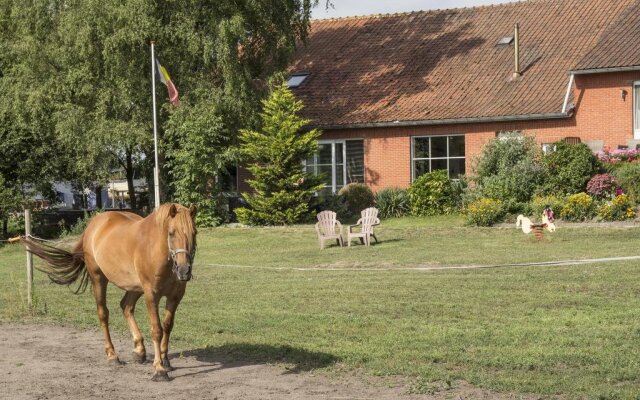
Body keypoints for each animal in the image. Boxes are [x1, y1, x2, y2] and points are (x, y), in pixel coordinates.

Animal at [22, 203, 196, 382]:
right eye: (171, 233)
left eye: (194, 233)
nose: (184, 270)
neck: (155, 250)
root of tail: (93, 225)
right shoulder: (151, 295)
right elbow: (157, 330)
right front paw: (159, 369)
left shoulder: (175, 296)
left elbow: (168, 326)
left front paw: (165, 360)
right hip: (99, 279)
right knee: (103, 314)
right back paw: (112, 355)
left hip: (134, 287)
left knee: (126, 307)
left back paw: (139, 350)